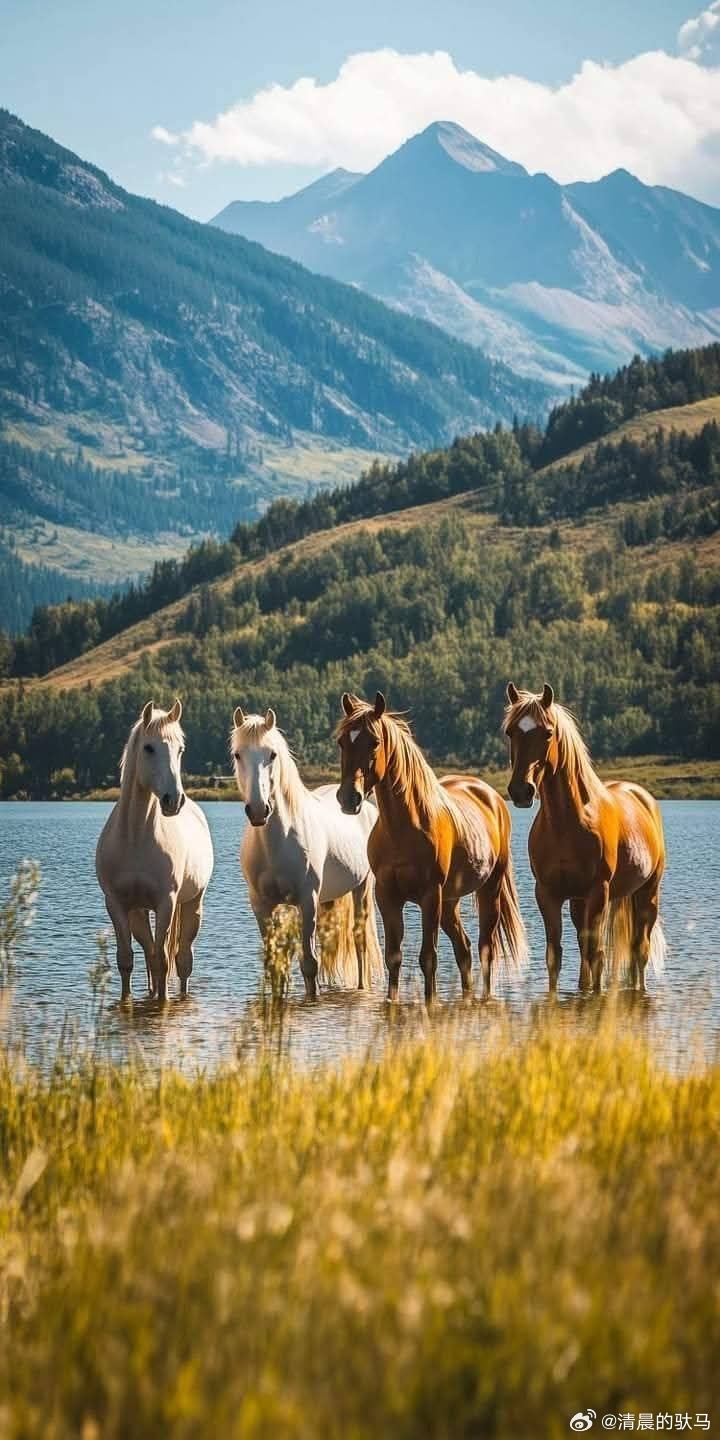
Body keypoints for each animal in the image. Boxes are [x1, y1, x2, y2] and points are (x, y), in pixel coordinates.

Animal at [96, 700, 214, 1001]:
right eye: (149, 748)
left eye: (180, 749)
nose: (174, 800)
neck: (136, 838)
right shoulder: (116, 903)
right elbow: (127, 959)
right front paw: (127, 1002)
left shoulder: (166, 902)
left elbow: (163, 959)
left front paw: (164, 1002)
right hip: (138, 912)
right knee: (148, 951)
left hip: (191, 904)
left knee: (182, 958)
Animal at [231, 706, 382, 999]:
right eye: (238, 754)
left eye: (272, 754)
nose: (258, 810)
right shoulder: (261, 905)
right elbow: (275, 964)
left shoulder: (307, 899)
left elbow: (310, 963)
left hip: (362, 889)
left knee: (359, 941)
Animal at [336, 691, 527, 1002]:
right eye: (342, 741)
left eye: (374, 741)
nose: (348, 798)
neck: (404, 829)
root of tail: (492, 796)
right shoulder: (387, 895)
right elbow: (394, 956)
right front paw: (392, 1001)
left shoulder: (430, 896)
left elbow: (428, 957)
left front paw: (431, 1002)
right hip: (450, 903)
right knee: (464, 948)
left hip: (488, 890)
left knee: (485, 947)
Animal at [504, 682, 666, 993]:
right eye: (510, 732)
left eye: (548, 732)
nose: (521, 791)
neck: (566, 825)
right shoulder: (548, 894)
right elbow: (555, 956)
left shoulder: (597, 892)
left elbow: (597, 955)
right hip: (581, 902)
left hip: (647, 894)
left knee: (639, 950)